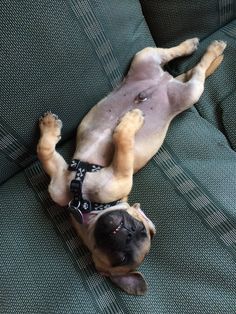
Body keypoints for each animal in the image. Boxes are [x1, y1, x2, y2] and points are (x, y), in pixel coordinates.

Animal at [37, 38, 227, 294]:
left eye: (123, 258)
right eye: (138, 229)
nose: (127, 232)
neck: (85, 203)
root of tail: (166, 81)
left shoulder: (120, 175)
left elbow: (123, 143)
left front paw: (130, 122)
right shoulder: (59, 180)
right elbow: (45, 150)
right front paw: (49, 127)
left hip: (190, 93)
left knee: (198, 73)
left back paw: (213, 49)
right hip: (146, 58)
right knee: (176, 60)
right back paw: (192, 46)